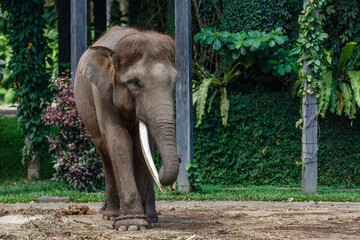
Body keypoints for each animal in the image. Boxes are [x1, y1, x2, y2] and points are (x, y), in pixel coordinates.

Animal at [73, 26, 180, 231]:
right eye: (135, 83)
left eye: (175, 82)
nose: (178, 157)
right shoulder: (102, 94)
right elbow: (119, 141)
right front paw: (132, 225)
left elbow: (140, 148)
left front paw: (142, 222)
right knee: (105, 153)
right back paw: (111, 214)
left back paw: (150, 217)